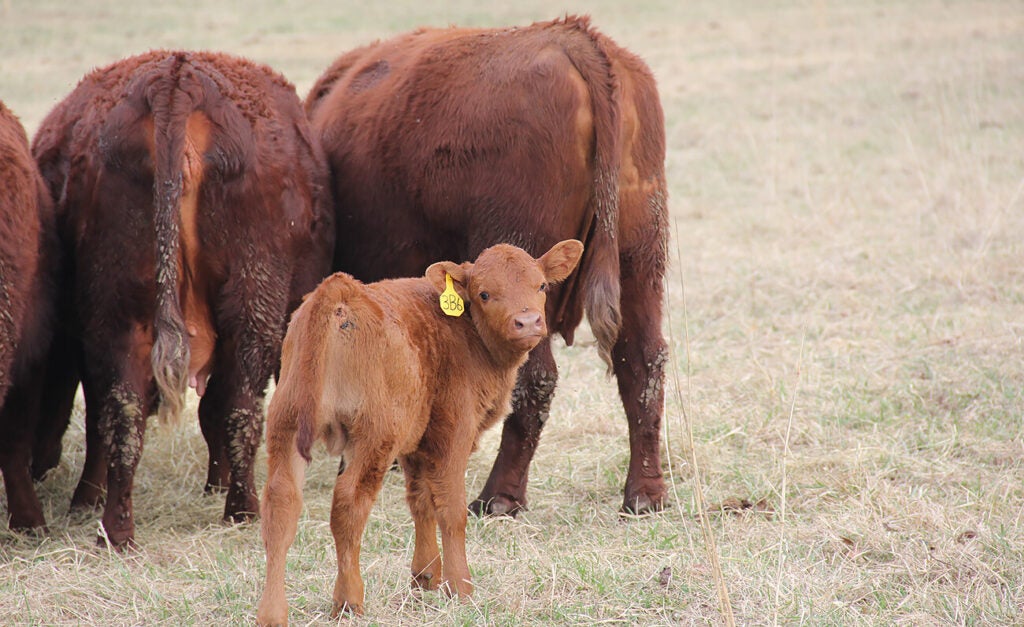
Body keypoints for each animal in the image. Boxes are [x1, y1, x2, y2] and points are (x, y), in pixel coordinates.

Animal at [29, 50, 335, 547]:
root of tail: (178, 76)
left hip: (117, 311)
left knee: (123, 413)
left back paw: (116, 530)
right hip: (253, 302)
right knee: (241, 407)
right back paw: (242, 511)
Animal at [257, 239, 584, 624]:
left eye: (542, 286)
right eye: (485, 293)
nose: (528, 321)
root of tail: (339, 293)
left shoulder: (418, 442)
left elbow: (421, 501)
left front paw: (426, 576)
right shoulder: (452, 434)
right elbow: (451, 509)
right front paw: (460, 586)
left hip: (286, 424)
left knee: (281, 504)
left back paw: (272, 612)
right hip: (373, 438)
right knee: (348, 506)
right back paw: (349, 600)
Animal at [305, 15, 669, 517]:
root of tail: (577, 40)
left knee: (536, 380)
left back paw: (498, 497)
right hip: (640, 263)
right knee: (643, 366)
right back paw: (644, 494)